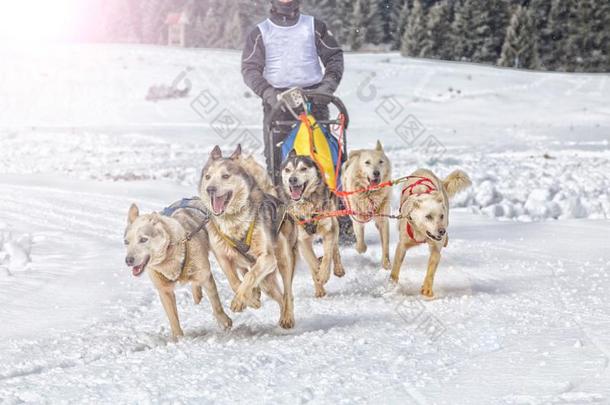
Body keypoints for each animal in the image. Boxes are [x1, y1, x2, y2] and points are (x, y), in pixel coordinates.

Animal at [123, 202, 230, 338]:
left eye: (143, 239)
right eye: (126, 242)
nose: (128, 260)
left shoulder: (206, 276)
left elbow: (216, 304)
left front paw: (224, 321)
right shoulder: (164, 291)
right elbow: (173, 318)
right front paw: (178, 338)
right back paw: (197, 294)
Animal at [198, 145, 296, 328]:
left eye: (225, 176)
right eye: (208, 176)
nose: (210, 189)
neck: (233, 221)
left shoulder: (267, 258)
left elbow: (250, 277)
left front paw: (240, 301)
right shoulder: (223, 258)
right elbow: (234, 282)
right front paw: (249, 300)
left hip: (283, 261)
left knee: (287, 293)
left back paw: (288, 317)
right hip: (266, 280)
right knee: (276, 295)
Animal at [280, 150, 342, 298]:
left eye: (303, 168)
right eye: (287, 170)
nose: (292, 179)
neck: (306, 204)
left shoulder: (328, 231)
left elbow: (327, 256)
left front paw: (324, 273)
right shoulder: (302, 240)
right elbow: (313, 263)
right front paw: (318, 276)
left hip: (334, 222)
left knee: (335, 248)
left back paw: (338, 268)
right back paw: (319, 289)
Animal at [340, 140, 392, 268]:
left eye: (380, 162)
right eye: (367, 162)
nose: (376, 173)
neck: (370, 194)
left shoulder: (383, 220)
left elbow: (385, 244)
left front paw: (386, 263)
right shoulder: (357, 218)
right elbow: (360, 243)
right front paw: (359, 248)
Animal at [390, 167, 470, 296]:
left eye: (441, 216)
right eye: (428, 216)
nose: (442, 231)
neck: (422, 235)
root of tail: (423, 169)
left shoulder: (436, 248)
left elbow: (431, 268)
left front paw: (427, 288)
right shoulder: (402, 245)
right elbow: (396, 265)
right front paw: (392, 283)